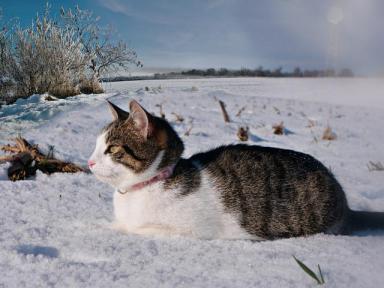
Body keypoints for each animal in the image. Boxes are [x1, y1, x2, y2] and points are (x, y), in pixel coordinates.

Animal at [88, 100, 384, 240]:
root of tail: (345, 203)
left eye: (112, 149)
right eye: (96, 145)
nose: (89, 162)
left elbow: (134, 229)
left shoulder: (188, 231)